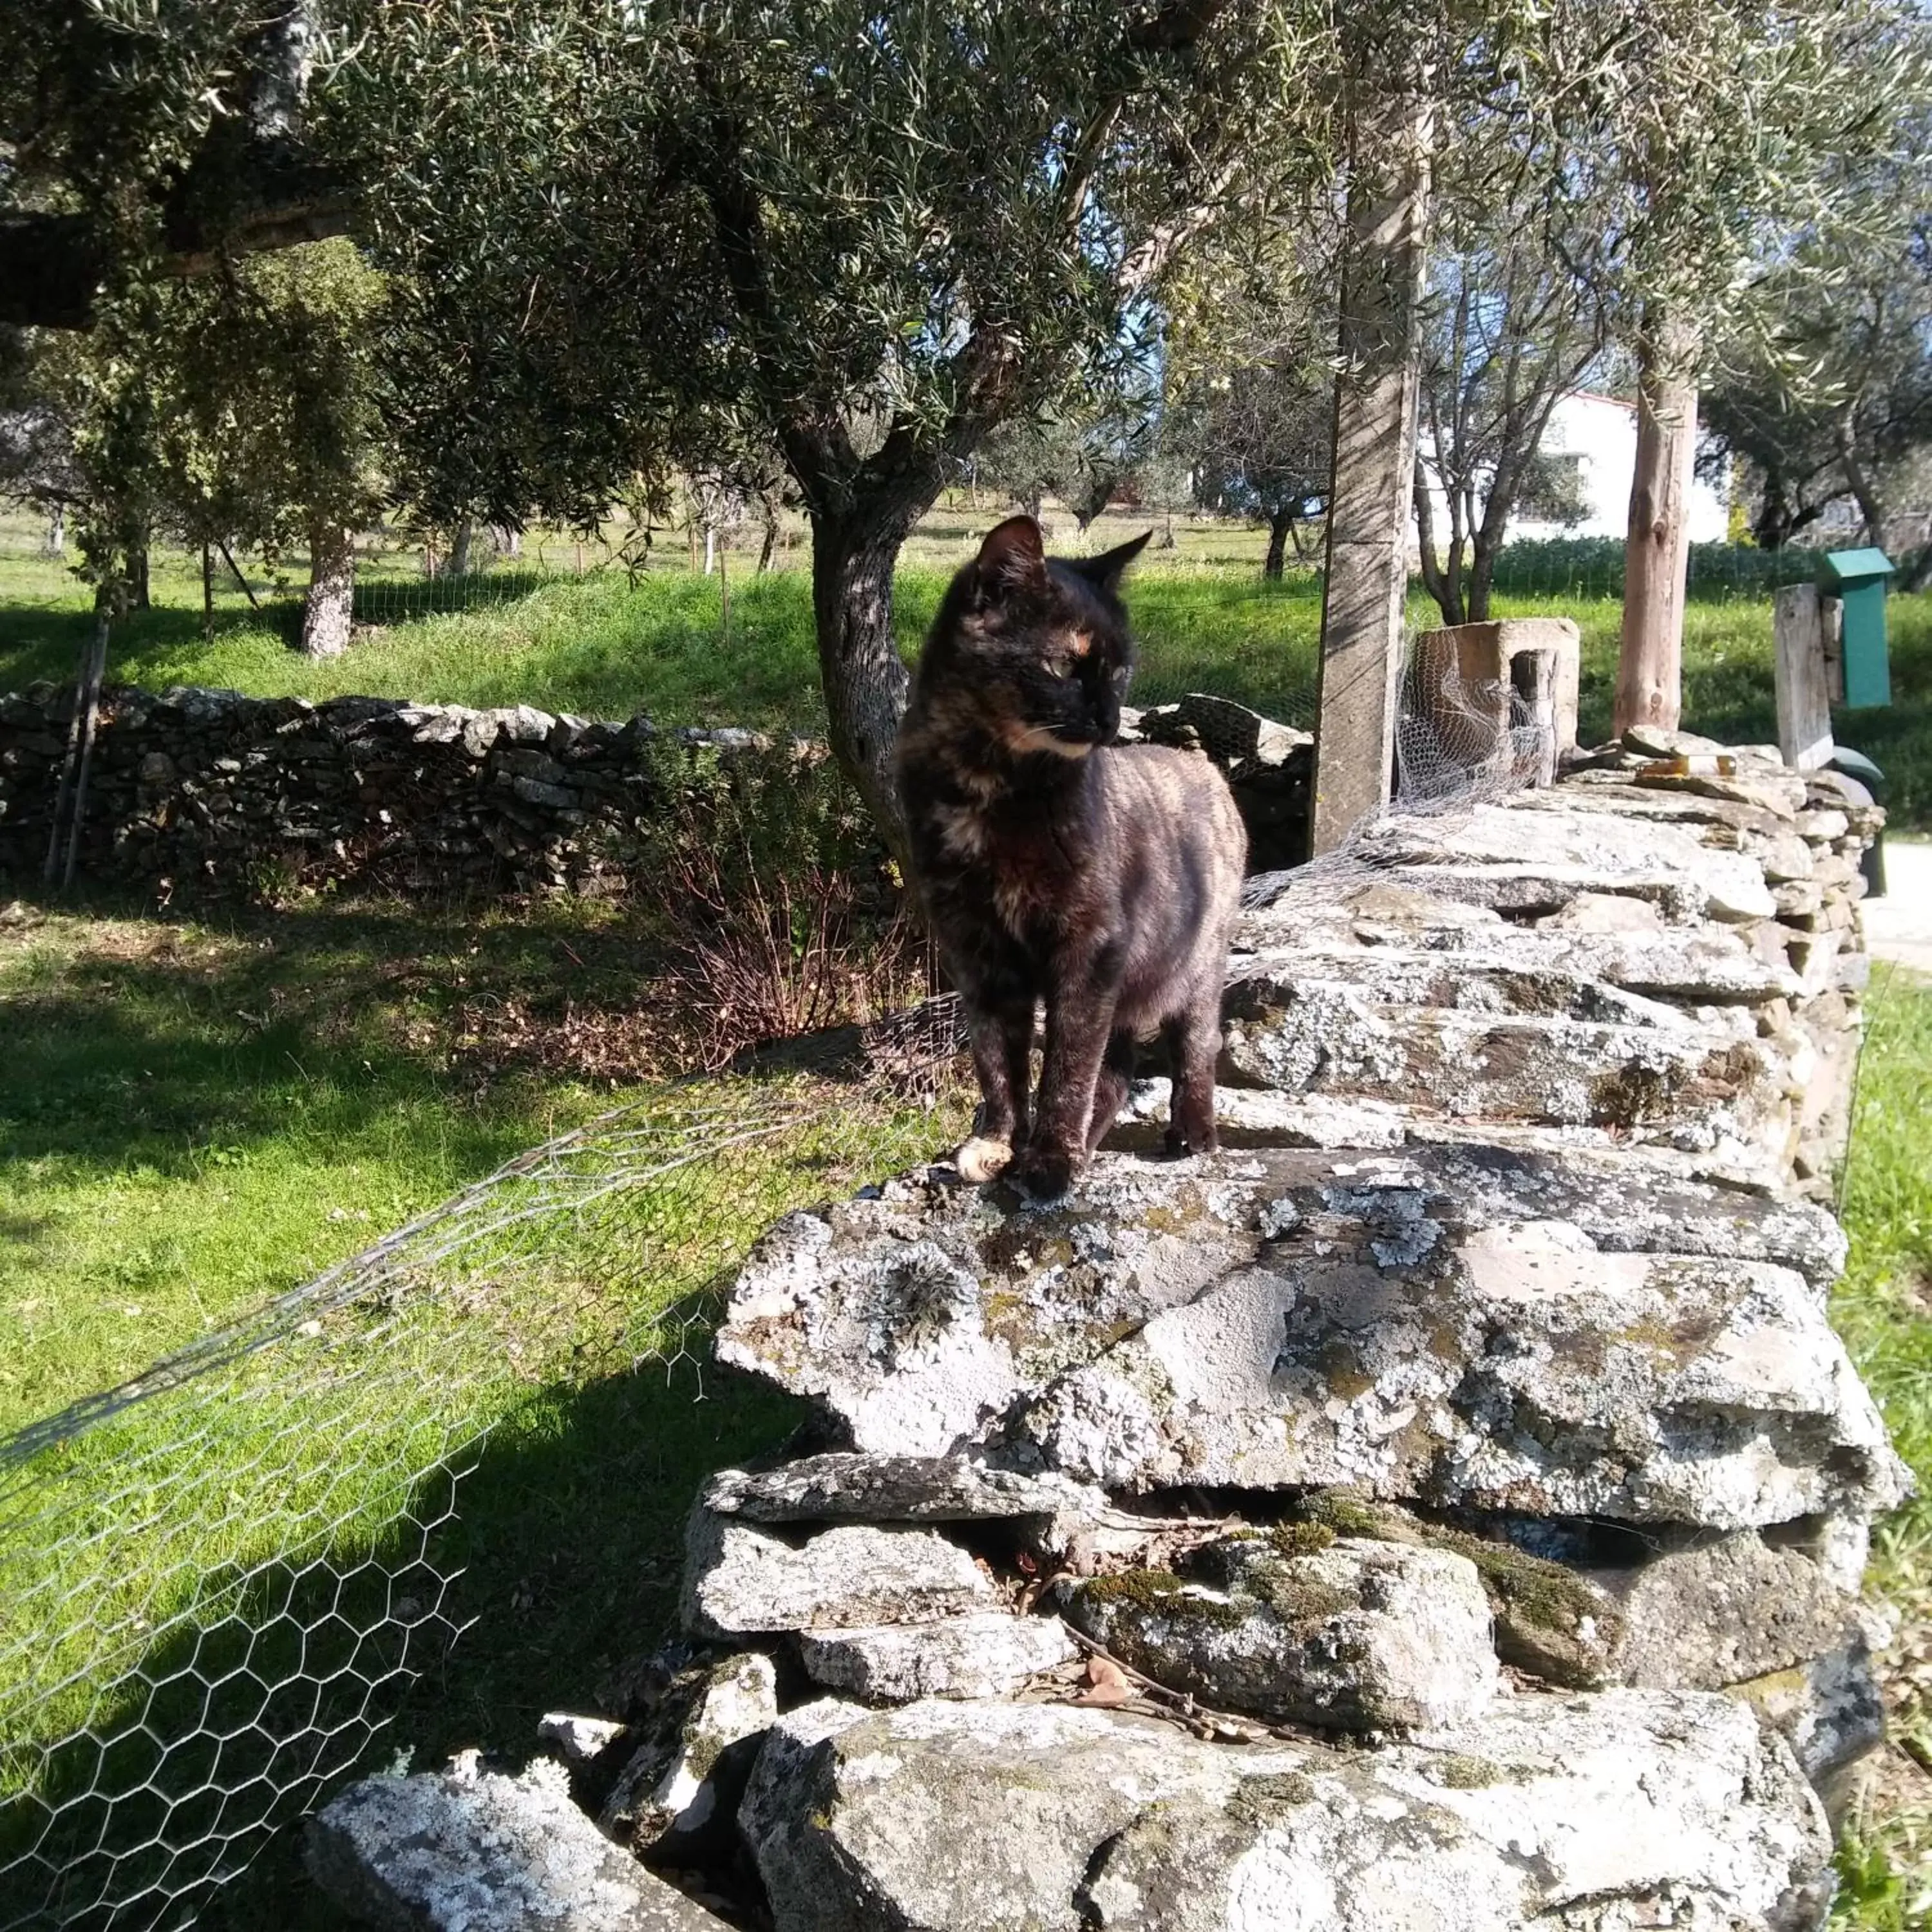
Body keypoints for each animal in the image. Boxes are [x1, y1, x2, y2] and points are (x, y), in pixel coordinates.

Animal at [896, 522, 1244, 1198]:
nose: (1109, 720)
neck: (991, 784)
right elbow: (996, 1059)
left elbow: (1067, 1062)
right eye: (1063, 664)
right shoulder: (975, 949)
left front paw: (1050, 1160)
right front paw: (1000, 1142)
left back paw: (1192, 1133)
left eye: (1120, 671)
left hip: (1197, 966)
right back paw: (1089, 1144)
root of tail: (1208, 767)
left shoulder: (1089, 942)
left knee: (1194, 1046)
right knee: (1118, 1068)